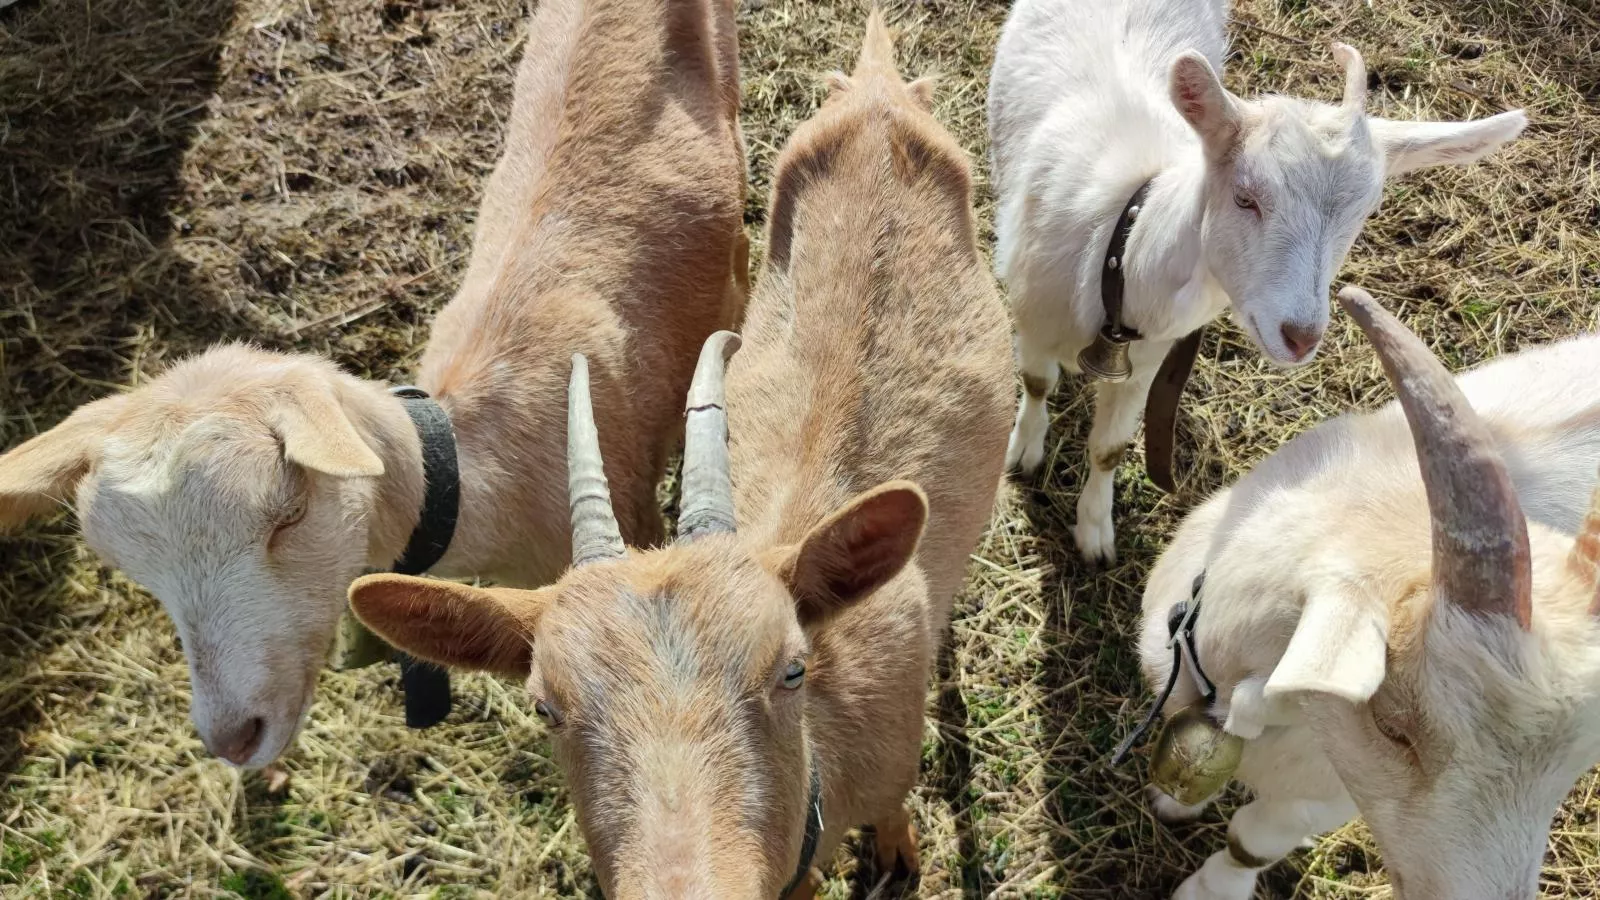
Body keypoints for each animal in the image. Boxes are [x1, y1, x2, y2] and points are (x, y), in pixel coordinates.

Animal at [347, 12, 1011, 890]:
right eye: (545, 706)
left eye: (790, 667)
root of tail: (876, 91)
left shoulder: (893, 758)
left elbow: (898, 807)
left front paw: (899, 856)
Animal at [985, 0, 1523, 560]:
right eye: (1245, 197)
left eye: (1365, 212)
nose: (1300, 335)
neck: (1122, 245)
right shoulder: (1031, 314)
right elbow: (1037, 382)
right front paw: (1024, 451)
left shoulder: (1146, 360)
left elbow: (1108, 448)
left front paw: (1094, 533)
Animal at [1139, 285, 1600, 896]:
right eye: (1391, 725)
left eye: (1576, 766)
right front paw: (1173, 801)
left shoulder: (1324, 797)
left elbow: (1251, 843)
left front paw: (1210, 889)